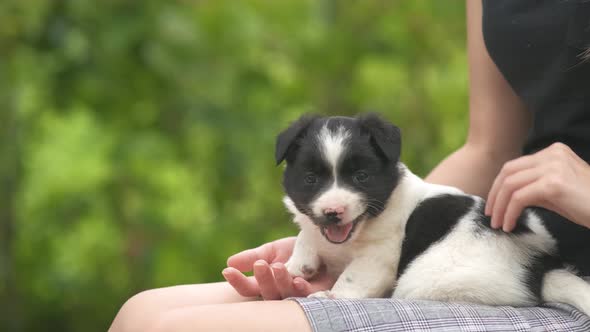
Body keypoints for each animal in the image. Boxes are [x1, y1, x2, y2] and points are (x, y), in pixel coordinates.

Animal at [280, 113, 590, 316]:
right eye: (310, 179)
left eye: (361, 177)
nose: (333, 212)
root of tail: (541, 269)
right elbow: (305, 236)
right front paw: (296, 265)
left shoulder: (379, 257)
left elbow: (353, 278)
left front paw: (331, 295)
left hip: (426, 281)